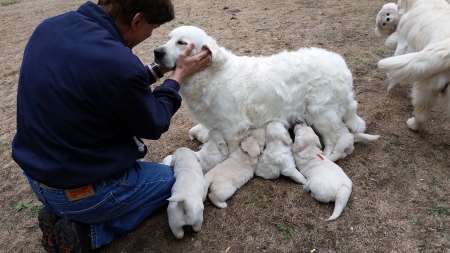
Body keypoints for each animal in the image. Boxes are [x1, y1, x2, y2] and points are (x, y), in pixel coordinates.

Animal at [153, 24, 378, 157]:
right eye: (168, 38)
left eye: (182, 43)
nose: (156, 52)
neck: (209, 76)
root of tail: (341, 64)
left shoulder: (233, 127)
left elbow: (232, 151)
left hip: (322, 113)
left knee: (337, 137)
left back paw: (329, 157)